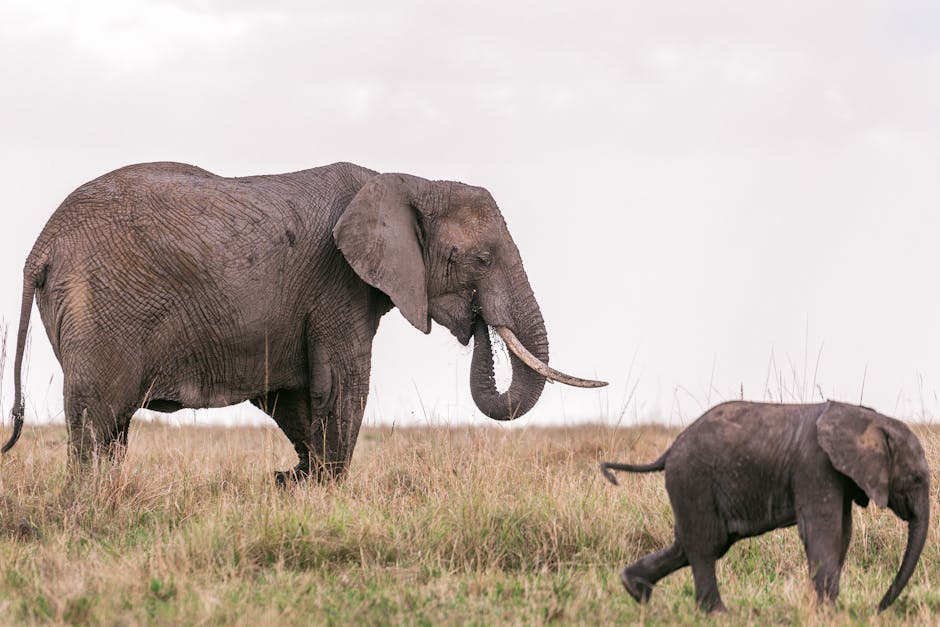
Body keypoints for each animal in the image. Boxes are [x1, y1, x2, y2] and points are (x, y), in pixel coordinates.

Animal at [3, 161, 604, 480]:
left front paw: (296, 482)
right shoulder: (338, 285)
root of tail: (41, 246)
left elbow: (294, 397)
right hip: (97, 307)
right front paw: (319, 487)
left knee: (111, 427)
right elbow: (342, 388)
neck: (408, 181)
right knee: (97, 421)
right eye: (477, 259)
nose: (478, 322)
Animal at [600, 402, 928, 612]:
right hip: (692, 480)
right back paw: (717, 614)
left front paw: (828, 609)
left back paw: (635, 590)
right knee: (706, 545)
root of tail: (668, 451)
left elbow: (842, 533)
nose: (878, 609)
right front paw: (828, 613)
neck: (869, 417)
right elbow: (824, 531)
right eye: (916, 477)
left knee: (693, 544)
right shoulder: (815, 466)